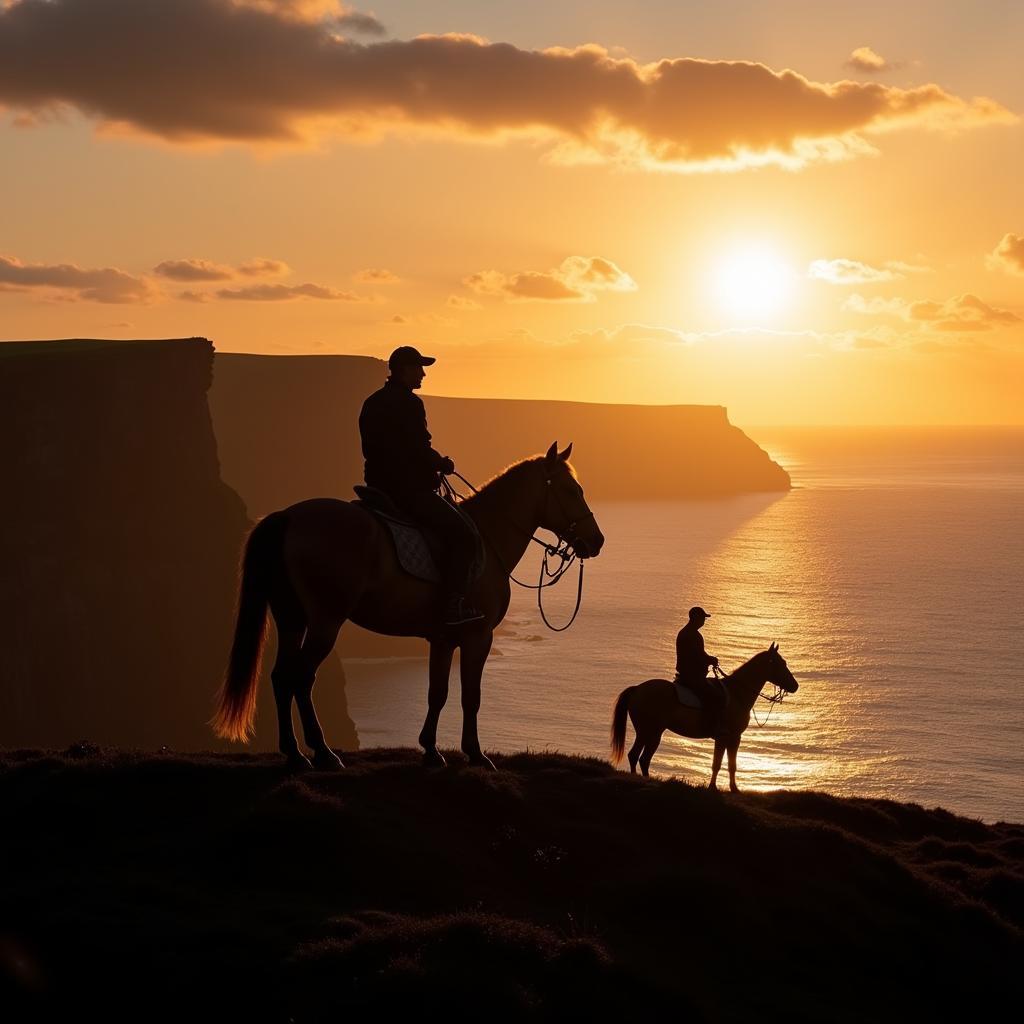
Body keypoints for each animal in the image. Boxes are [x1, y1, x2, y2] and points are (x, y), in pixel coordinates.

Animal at [211, 440, 602, 770]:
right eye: (571, 490)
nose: (597, 540)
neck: (488, 538)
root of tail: (289, 516)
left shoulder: (443, 639)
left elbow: (438, 693)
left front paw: (430, 750)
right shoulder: (478, 637)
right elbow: (470, 696)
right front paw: (475, 754)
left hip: (292, 618)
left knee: (281, 677)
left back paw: (294, 753)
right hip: (325, 622)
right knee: (301, 678)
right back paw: (321, 752)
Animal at [610, 647, 794, 790]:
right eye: (781, 663)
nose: (795, 686)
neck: (737, 694)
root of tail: (637, 689)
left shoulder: (730, 738)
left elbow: (728, 765)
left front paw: (730, 788)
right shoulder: (728, 737)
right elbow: (719, 764)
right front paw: (717, 788)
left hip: (649, 733)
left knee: (639, 757)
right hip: (650, 732)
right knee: (639, 757)